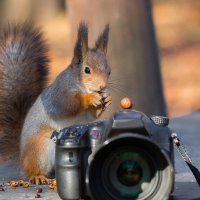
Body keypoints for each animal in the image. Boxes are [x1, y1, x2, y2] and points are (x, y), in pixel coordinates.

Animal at [0, 21, 111, 184]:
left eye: (109, 71)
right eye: (87, 70)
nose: (102, 87)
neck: (80, 85)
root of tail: (21, 158)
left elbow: (92, 116)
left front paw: (107, 99)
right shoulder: (59, 95)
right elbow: (68, 104)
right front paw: (90, 98)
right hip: (41, 148)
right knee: (32, 169)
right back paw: (37, 176)